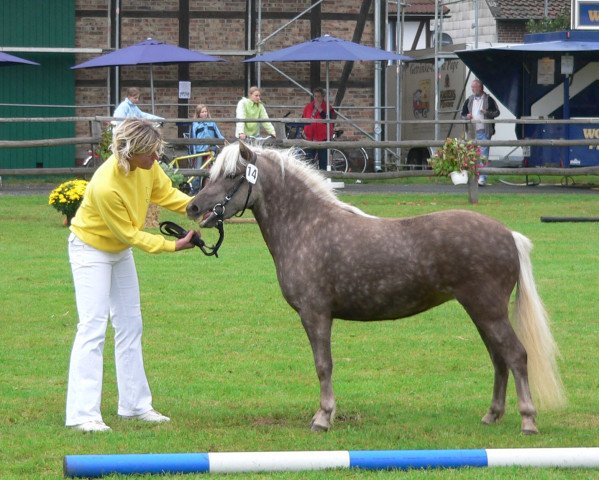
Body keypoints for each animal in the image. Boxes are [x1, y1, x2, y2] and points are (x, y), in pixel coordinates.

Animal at [188, 142, 568, 436]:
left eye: (233, 176)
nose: (193, 207)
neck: (306, 225)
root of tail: (508, 235)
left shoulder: (315, 314)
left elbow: (323, 365)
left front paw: (323, 418)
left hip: (488, 311)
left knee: (516, 356)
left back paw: (528, 421)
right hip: (480, 312)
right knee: (499, 359)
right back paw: (491, 415)